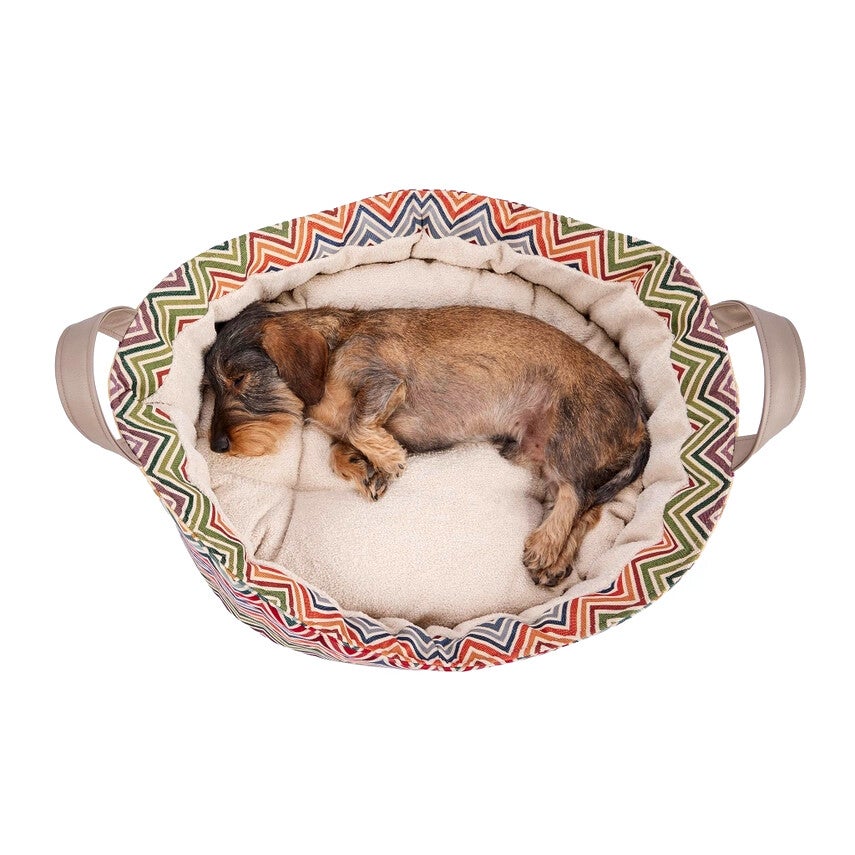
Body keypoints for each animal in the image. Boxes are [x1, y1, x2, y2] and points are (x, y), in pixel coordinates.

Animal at [203, 303, 650, 587]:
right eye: (211, 387)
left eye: (239, 378)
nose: (217, 445)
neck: (332, 351)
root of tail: (640, 420)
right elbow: (338, 447)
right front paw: (365, 468)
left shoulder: (384, 384)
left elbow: (359, 425)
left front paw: (386, 459)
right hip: (540, 454)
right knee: (587, 510)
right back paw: (556, 563)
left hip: (567, 439)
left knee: (575, 496)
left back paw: (543, 547)